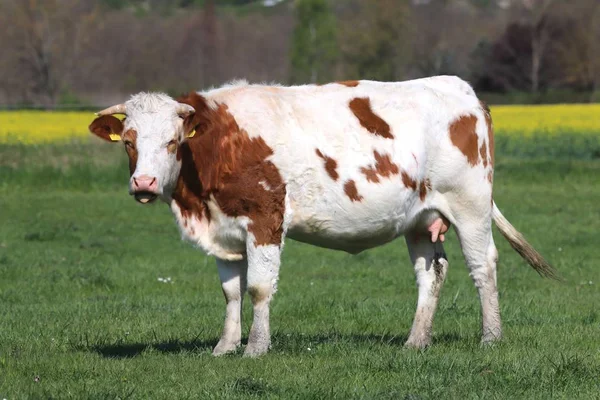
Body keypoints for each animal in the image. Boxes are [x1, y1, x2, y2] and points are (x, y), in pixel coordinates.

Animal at [86, 76, 556, 358]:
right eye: (128, 141)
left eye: (172, 141)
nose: (144, 183)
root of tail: (460, 88)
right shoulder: (224, 229)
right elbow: (231, 292)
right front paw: (224, 347)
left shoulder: (265, 218)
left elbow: (258, 288)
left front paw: (256, 348)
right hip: (421, 218)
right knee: (432, 272)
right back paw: (415, 341)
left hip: (469, 204)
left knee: (483, 265)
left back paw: (490, 337)